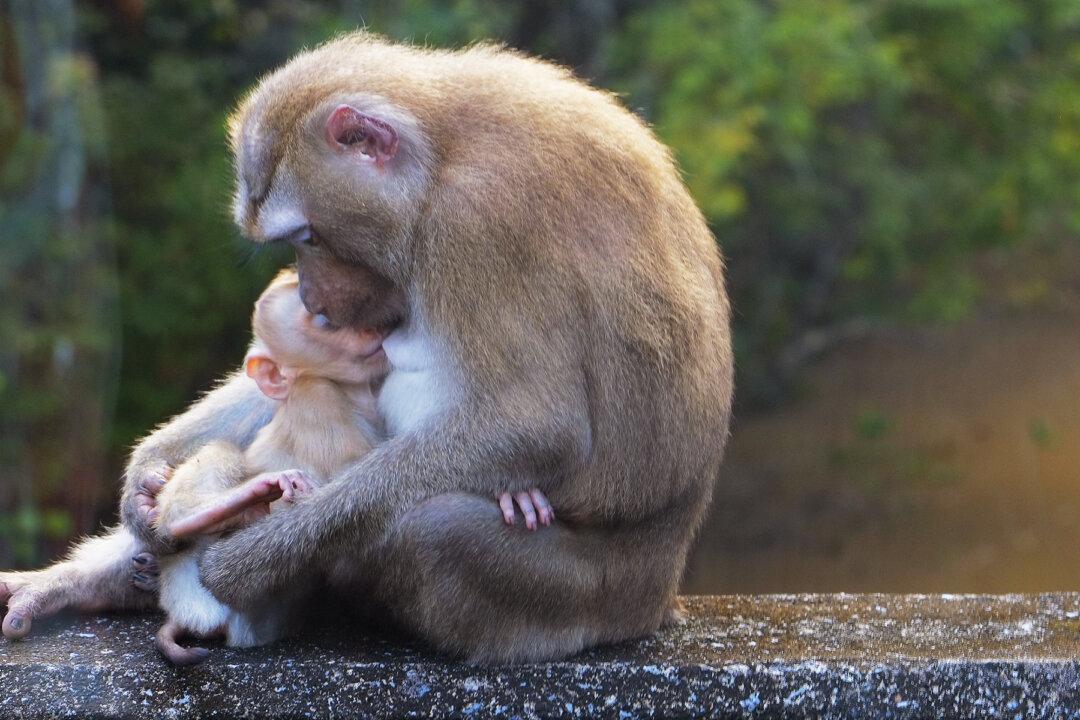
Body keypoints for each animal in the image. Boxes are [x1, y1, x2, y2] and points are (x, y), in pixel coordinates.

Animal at [1, 33, 733, 664]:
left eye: (308, 236)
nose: (312, 295)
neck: (444, 152)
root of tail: (660, 595)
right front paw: (144, 478)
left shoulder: (477, 223)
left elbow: (536, 423)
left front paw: (252, 558)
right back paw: (108, 575)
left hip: (592, 599)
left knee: (430, 530)